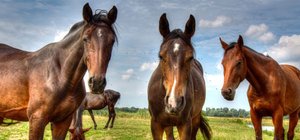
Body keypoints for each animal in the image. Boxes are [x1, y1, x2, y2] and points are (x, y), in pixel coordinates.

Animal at [0, 2, 118, 139]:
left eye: (112, 41)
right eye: (85, 39)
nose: (97, 83)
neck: (61, 75)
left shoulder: (63, 121)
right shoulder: (37, 120)